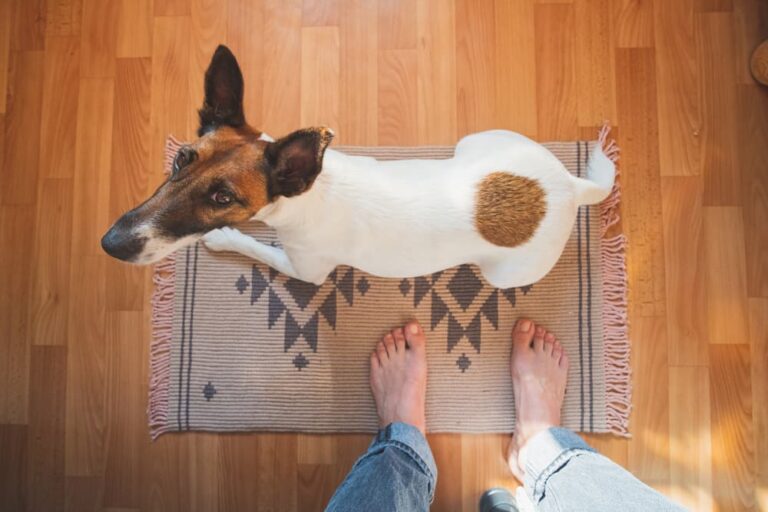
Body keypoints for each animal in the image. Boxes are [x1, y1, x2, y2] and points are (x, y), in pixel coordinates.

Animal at [102, 46, 616, 290]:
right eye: (180, 159)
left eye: (223, 198)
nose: (110, 244)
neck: (309, 196)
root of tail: (569, 186)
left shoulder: (305, 269)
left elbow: (258, 249)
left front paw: (226, 238)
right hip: (478, 141)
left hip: (506, 272)